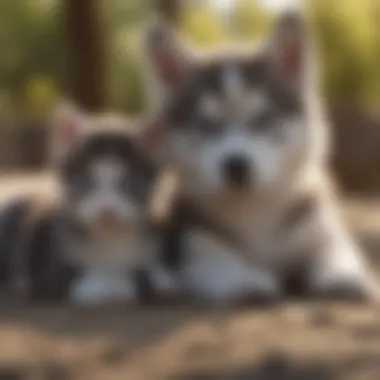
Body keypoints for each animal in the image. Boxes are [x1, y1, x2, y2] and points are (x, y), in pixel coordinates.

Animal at [0, 105, 174, 308]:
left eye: (128, 183)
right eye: (86, 181)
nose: (107, 213)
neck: (109, 240)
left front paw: (159, 274)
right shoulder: (46, 273)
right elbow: (106, 283)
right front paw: (135, 282)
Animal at [140, 10, 380, 304]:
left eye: (263, 119)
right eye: (206, 124)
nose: (236, 166)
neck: (254, 210)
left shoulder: (321, 225)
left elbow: (335, 250)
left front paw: (342, 276)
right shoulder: (191, 233)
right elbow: (214, 256)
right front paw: (245, 280)